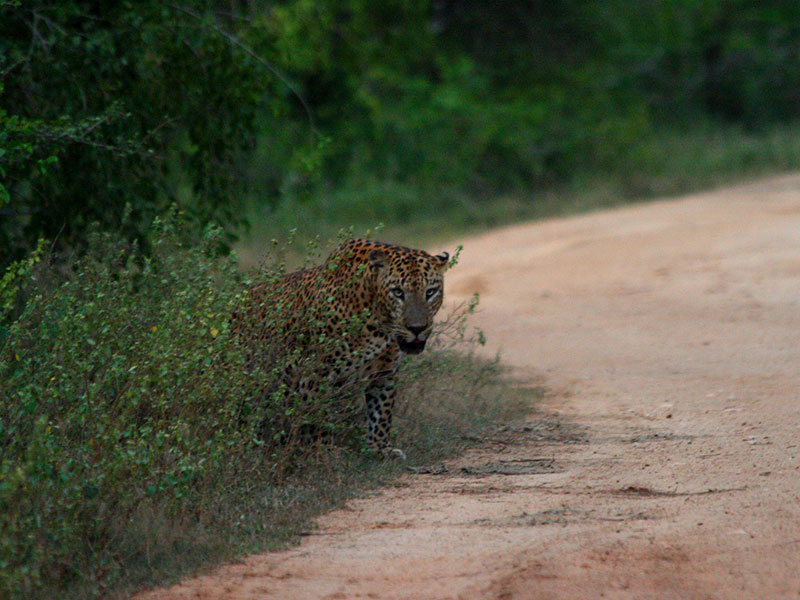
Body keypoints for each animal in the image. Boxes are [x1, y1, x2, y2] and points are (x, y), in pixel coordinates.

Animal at [234, 239, 450, 459]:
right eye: (398, 292)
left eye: (430, 292)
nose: (417, 328)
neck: (380, 326)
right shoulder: (316, 374)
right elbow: (316, 417)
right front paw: (323, 451)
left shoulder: (385, 373)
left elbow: (382, 411)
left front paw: (380, 448)